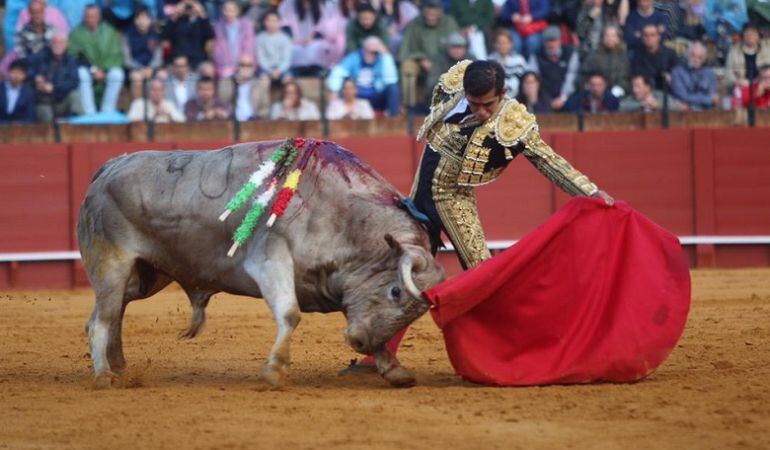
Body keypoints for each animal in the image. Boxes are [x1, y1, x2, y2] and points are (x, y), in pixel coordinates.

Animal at [78, 140, 444, 386]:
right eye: (396, 291)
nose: (361, 344)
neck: (342, 211)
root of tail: (110, 166)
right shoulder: (269, 260)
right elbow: (290, 313)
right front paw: (275, 369)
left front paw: (394, 370)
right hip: (112, 263)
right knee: (101, 319)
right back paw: (104, 375)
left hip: (149, 275)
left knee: (113, 311)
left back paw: (117, 363)